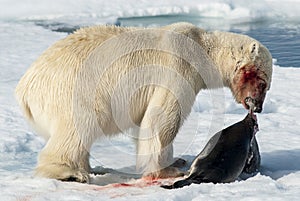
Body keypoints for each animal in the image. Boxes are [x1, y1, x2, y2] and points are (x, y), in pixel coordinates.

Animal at [15, 22, 274, 182]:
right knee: (78, 128)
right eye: (263, 82)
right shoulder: (178, 67)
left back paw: (91, 167)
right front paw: (168, 169)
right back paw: (70, 173)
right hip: (73, 91)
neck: (201, 49)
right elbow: (162, 118)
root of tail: (24, 89)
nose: (259, 107)